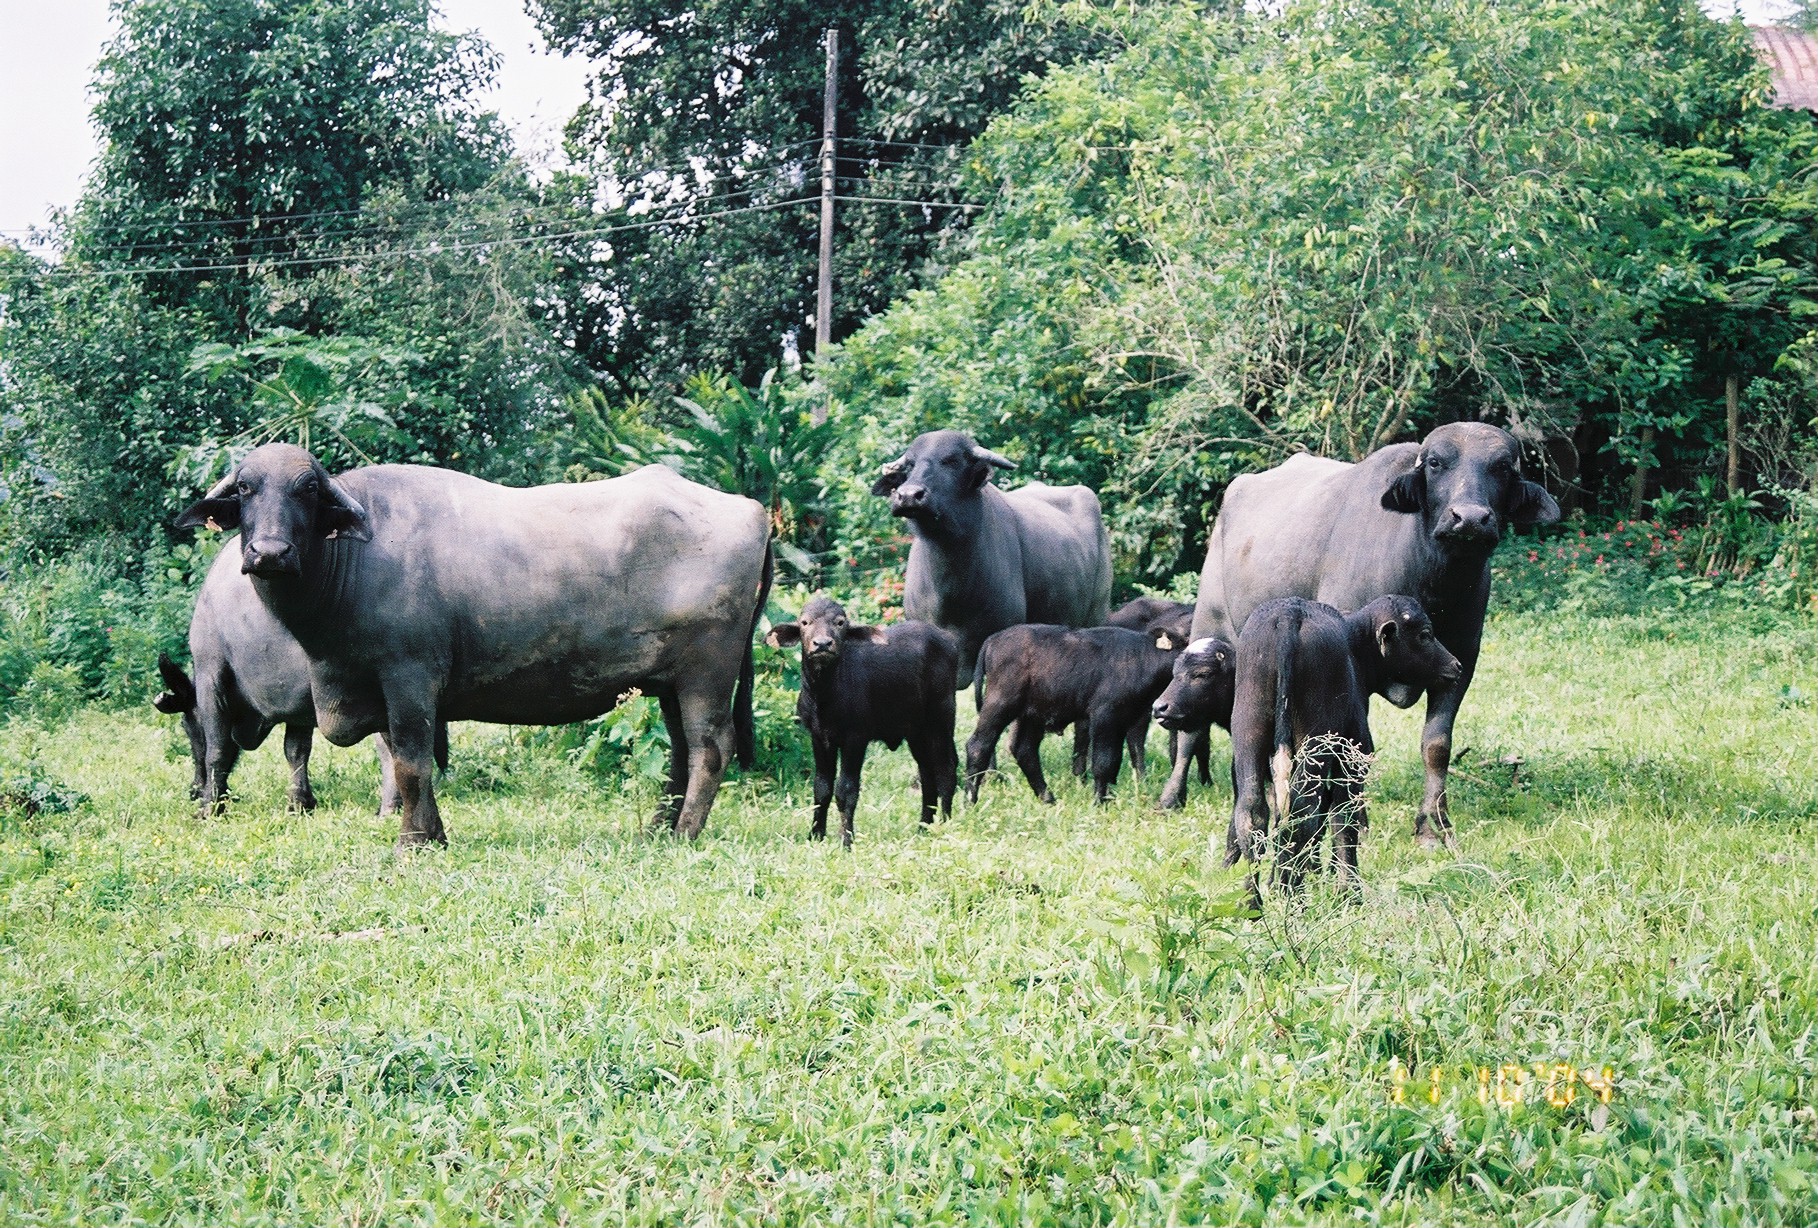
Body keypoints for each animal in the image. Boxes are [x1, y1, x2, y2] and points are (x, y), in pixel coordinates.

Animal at [171, 447, 767, 851]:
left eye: (308, 490)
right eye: (246, 489)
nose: (269, 553)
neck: (354, 563)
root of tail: (752, 510)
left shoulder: (408, 678)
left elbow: (411, 762)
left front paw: (413, 842)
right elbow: (402, 762)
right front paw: (431, 833)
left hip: (708, 673)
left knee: (710, 747)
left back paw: (685, 833)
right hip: (669, 681)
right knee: (680, 749)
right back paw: (659, 828)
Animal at [1163, 422, 1563, 844]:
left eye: (1501, 467)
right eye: (1436, 463)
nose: (1469, 518)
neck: (1432, 579)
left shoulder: (1459, 662)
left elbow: (1437, 744)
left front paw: (1433, 825)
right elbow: (1351, 746)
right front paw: (1358, 819)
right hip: (1209, 623)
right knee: (1190, 729)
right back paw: (1171, 797)